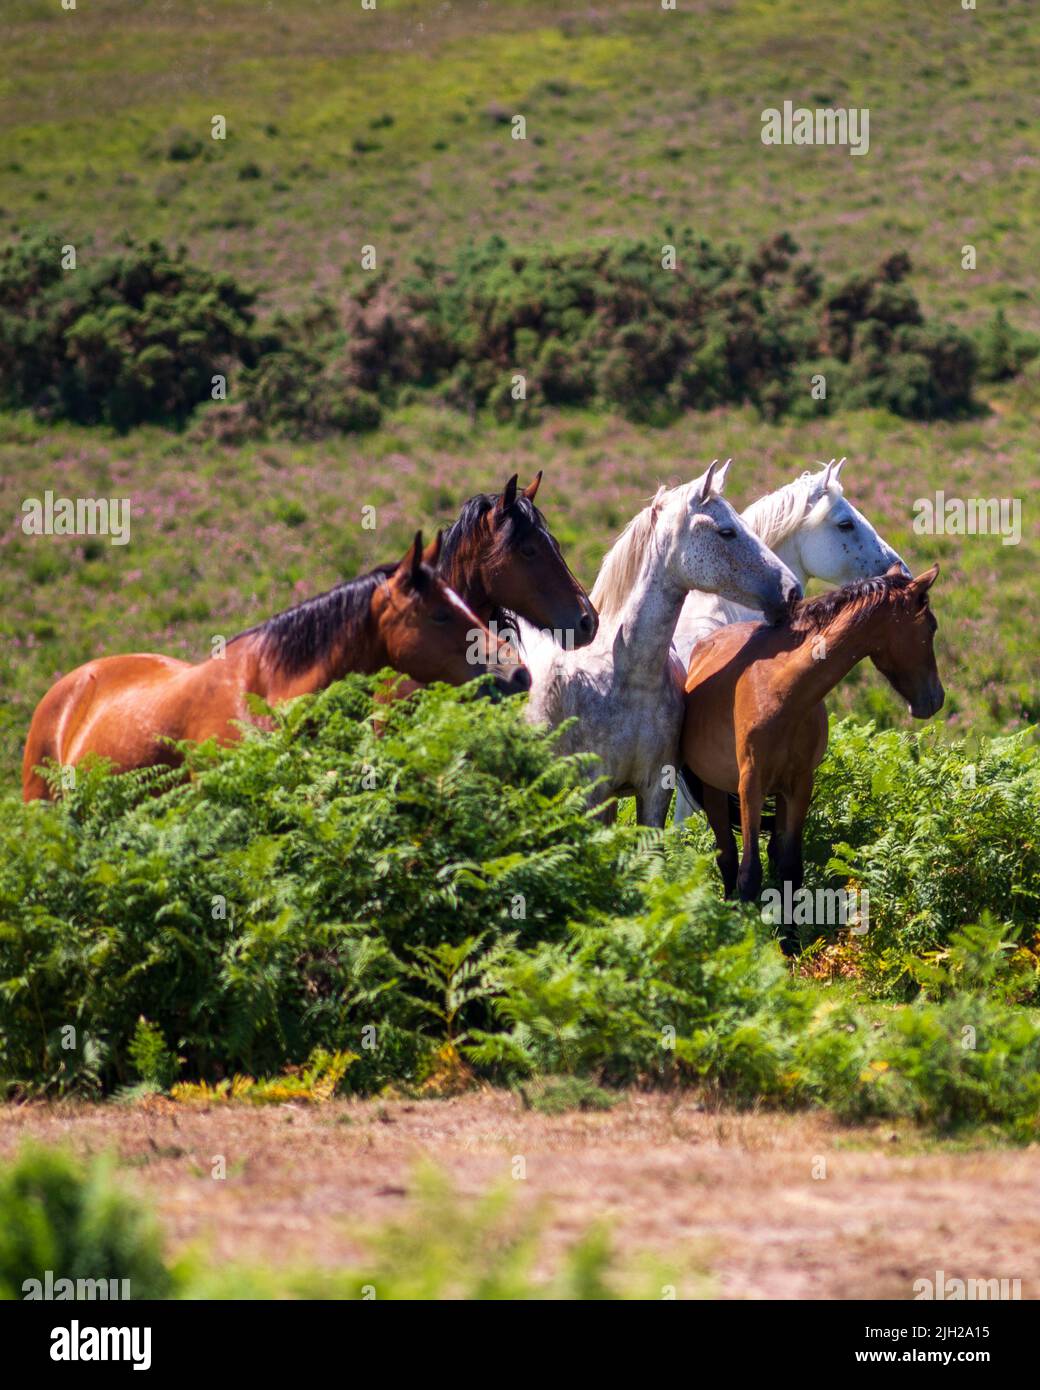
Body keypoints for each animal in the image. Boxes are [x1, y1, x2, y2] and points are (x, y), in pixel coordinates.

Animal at [678, 561, 945, 945]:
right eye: (931, 626)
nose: (935, 699)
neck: (782, 689)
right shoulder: (749, 786)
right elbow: (749, 873)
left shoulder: (799, 784)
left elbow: (790, 866)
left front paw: (789, 944)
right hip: (714, 790)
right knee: (727, 857)